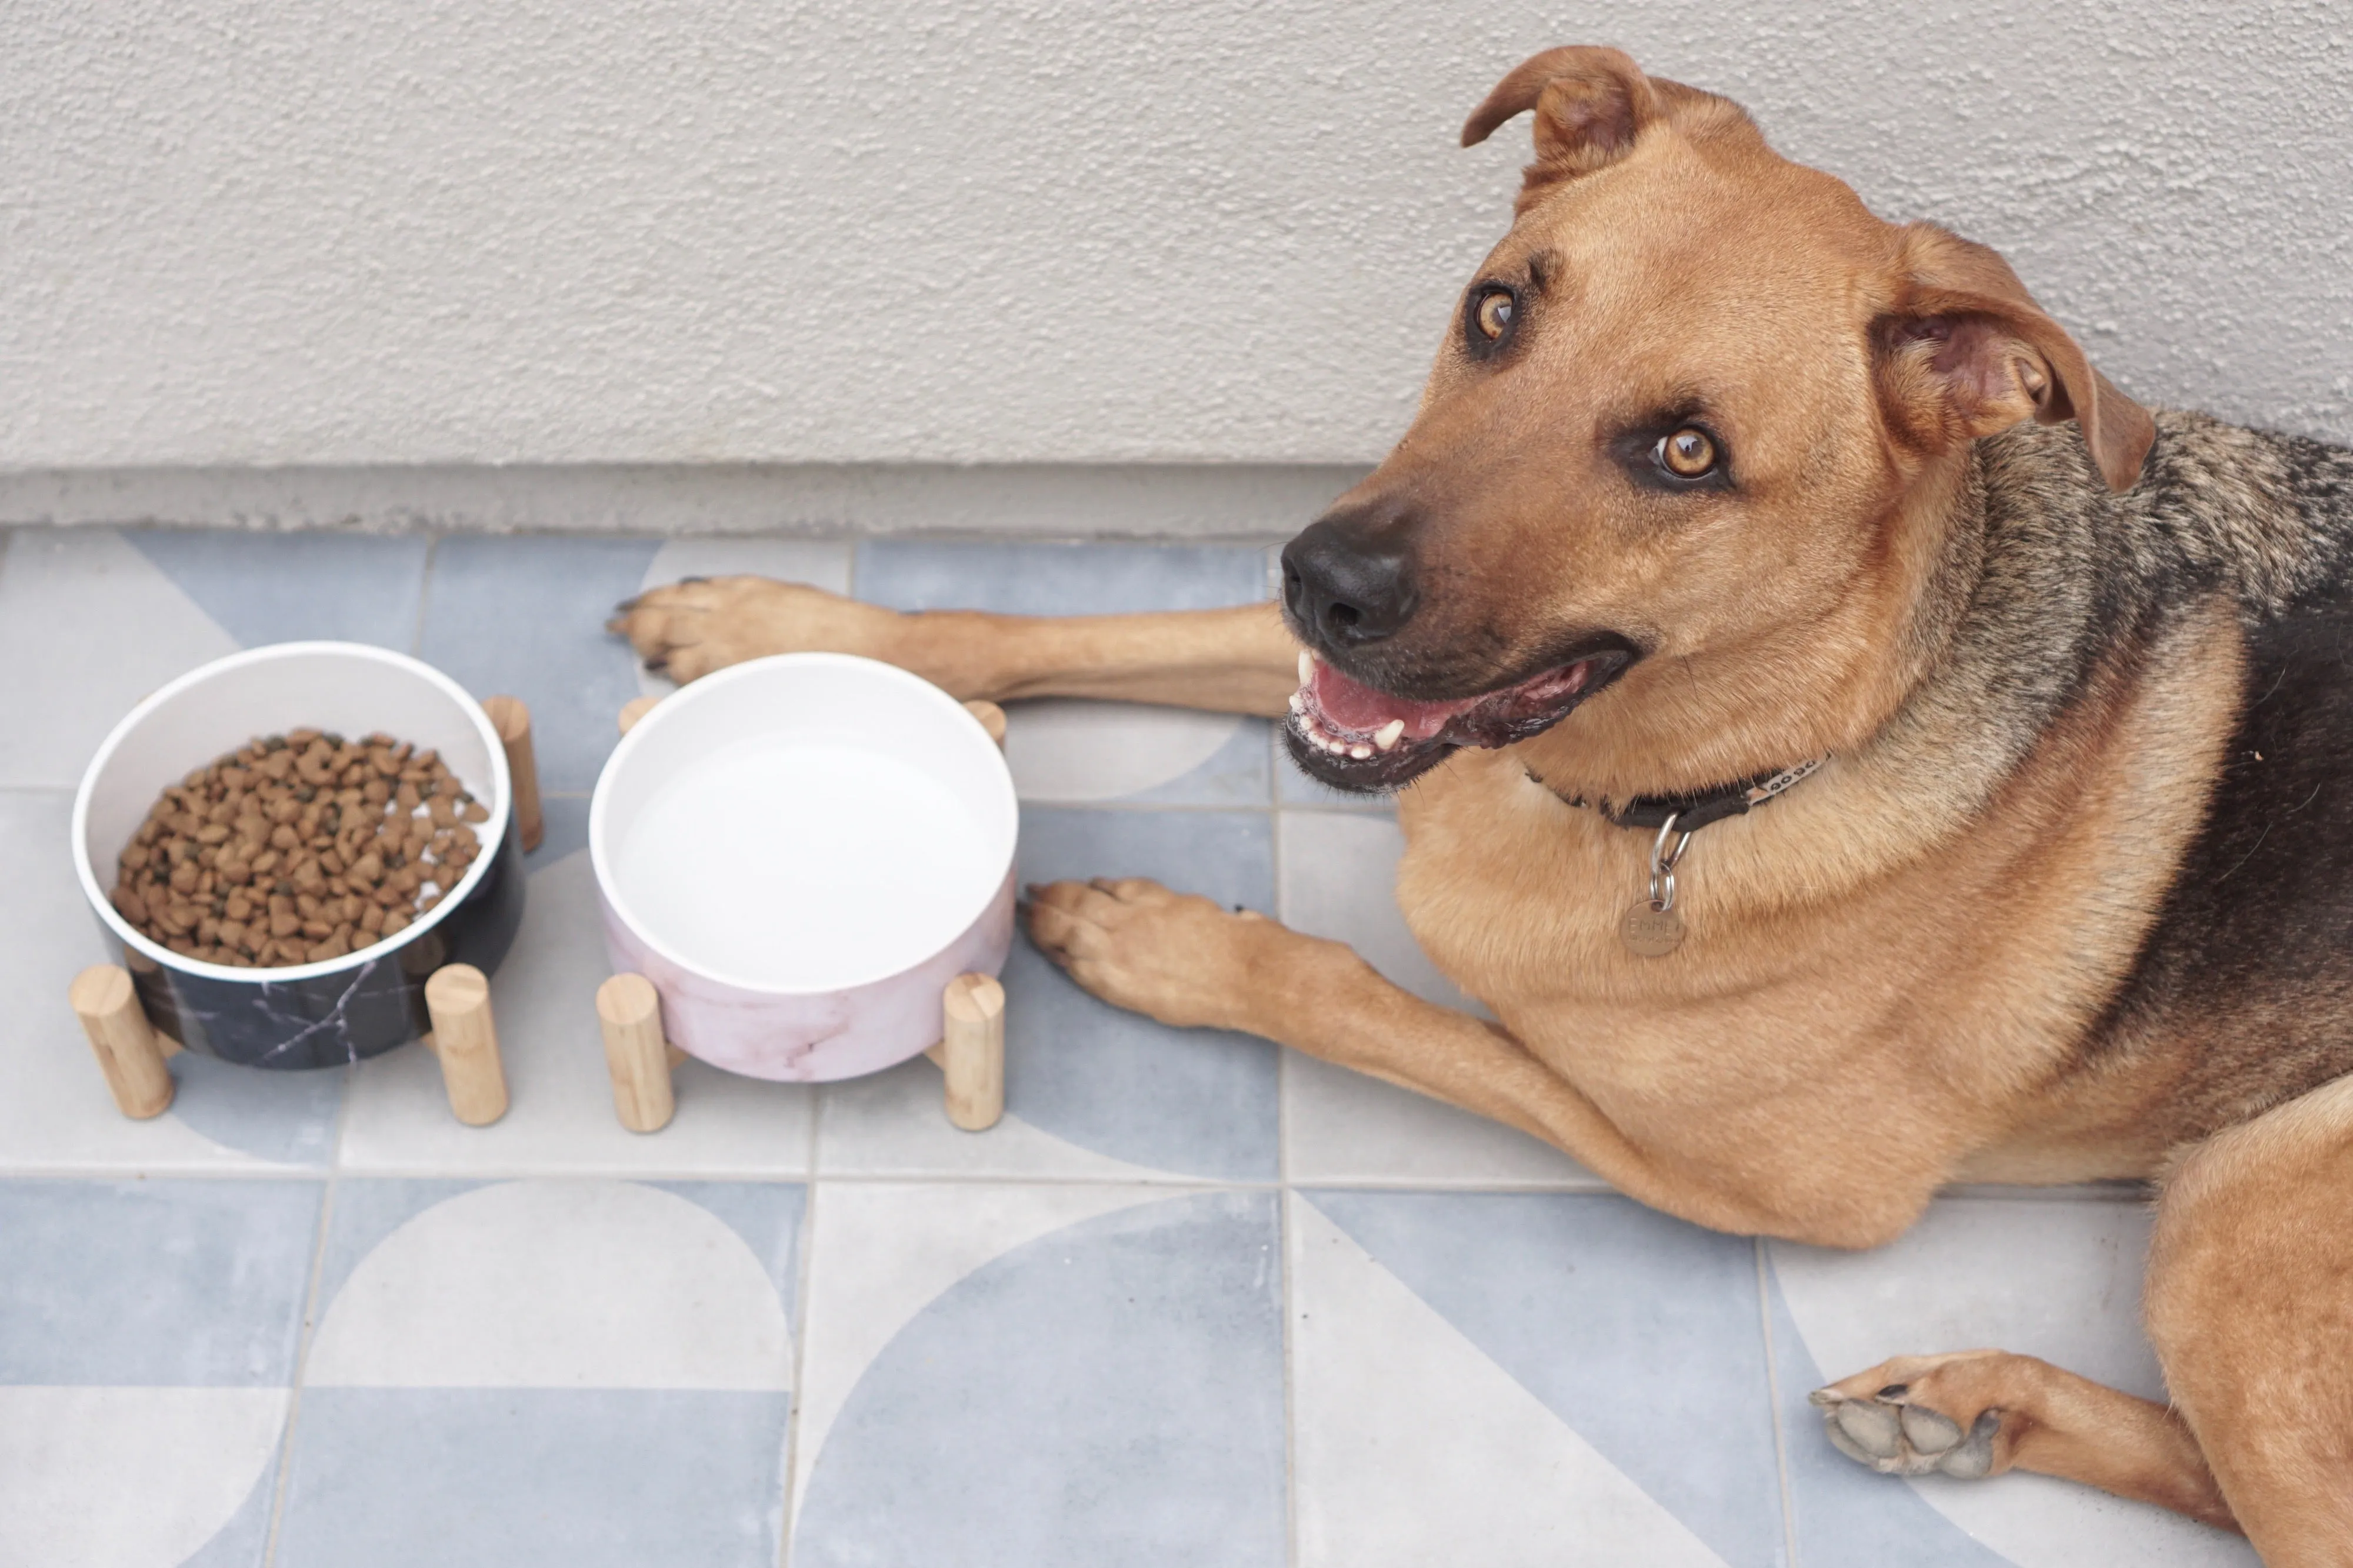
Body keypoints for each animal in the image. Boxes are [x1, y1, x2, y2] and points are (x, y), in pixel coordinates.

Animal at [616, 46, 2353, 1553]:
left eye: (1686, 452)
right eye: (1499, 310)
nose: (1320, 581)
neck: (1731, 776)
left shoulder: (1754, 1186)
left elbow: (1374, 1004)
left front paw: (1165, 944)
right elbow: (1041, 629)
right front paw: (774, 622)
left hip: (2240, 1203)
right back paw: (1972, 1407)